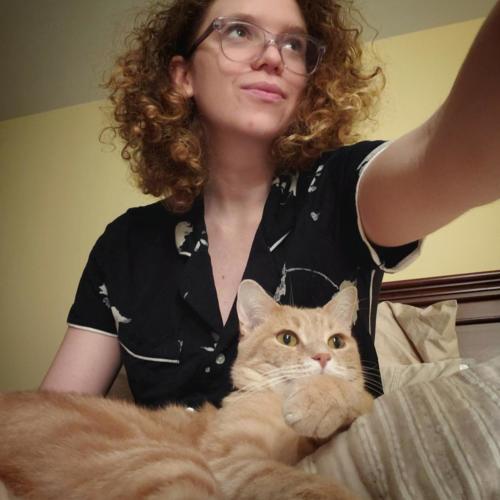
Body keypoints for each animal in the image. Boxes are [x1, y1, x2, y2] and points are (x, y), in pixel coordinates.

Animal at [0, 280, 373, 500]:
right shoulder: (232, 460)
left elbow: (362, 398)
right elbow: (298, 484)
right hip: (172, 466)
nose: (323, 357)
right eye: (287, 338)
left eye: (336, 342)